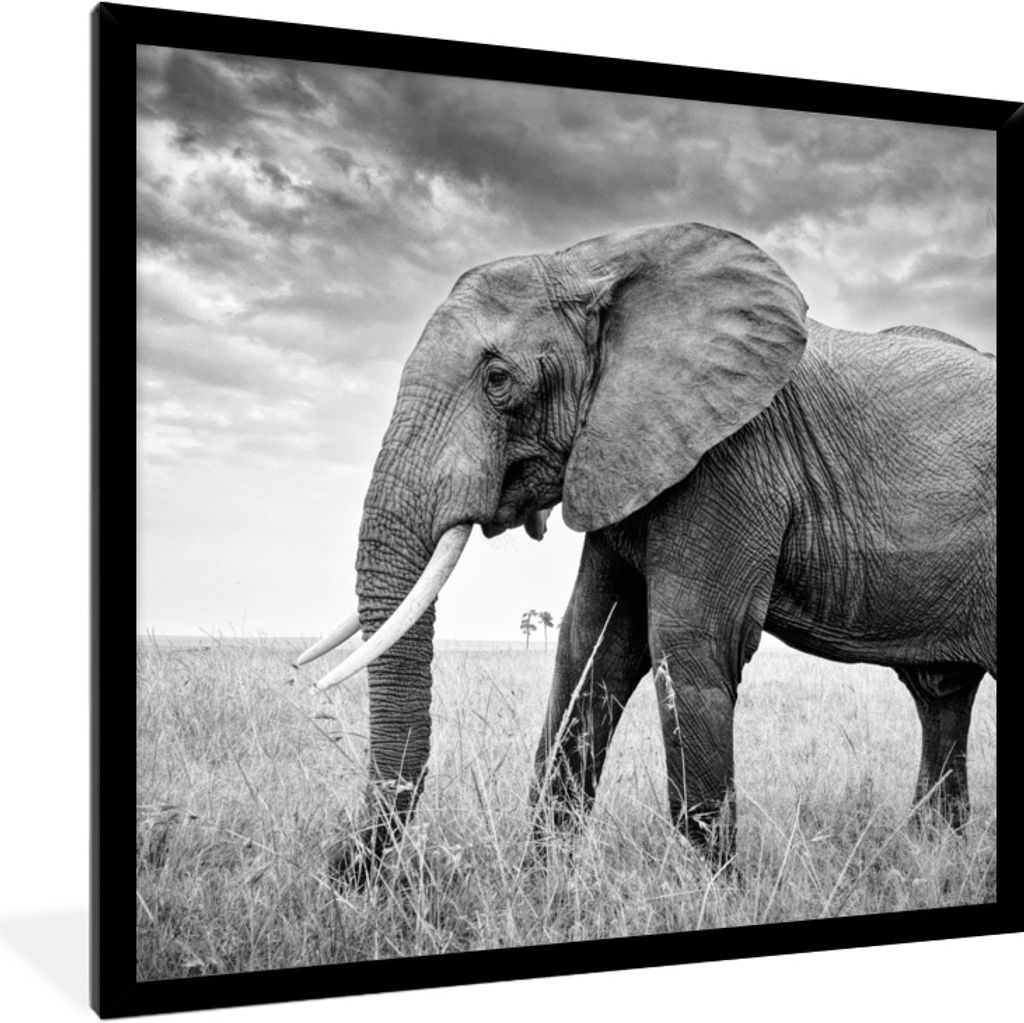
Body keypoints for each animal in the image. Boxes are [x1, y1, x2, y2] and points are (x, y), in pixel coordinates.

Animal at [297, 222, 996, 883]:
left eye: (498, 380)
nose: (342, 868)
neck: (596, 263)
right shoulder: (621, 454)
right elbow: (591, 647)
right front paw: (542, 886)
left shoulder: (729, 458)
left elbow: (688, 643)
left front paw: (717, 895)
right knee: (941, 693)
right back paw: (937, 850)